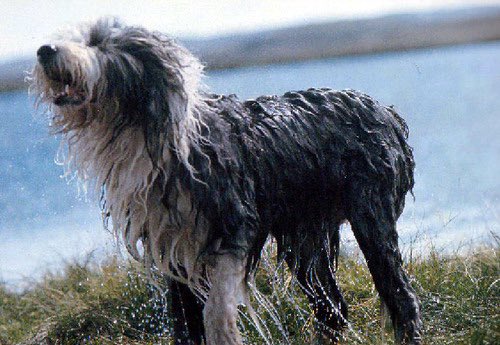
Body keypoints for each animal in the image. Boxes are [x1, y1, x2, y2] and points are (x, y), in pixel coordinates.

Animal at [31, 18, 422, 344]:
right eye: (85, 38)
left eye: (100, 44)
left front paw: (226, 333)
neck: (156, 140)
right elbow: (185, 324)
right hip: (306, 236)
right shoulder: (172, 245)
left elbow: (216, 307)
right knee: (332, 306)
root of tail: (388, 113)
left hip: (370, 215)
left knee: (399, 295)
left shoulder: (234, 225)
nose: (44, 50)